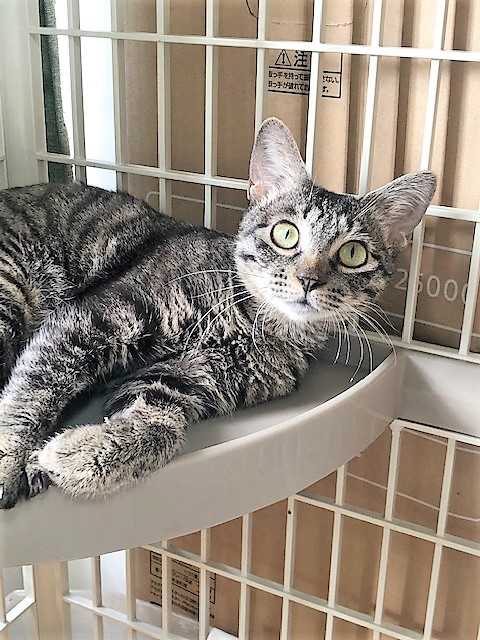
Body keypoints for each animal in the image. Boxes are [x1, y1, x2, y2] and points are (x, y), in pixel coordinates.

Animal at [0, 118, 436, 509]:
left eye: (353, 254)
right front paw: (10, 461)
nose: (308, 279)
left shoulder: (187, 379)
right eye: (286, 233)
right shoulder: (94, 318)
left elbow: (160, 426)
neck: (250, 322)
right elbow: (34, 391)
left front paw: (75, 454)